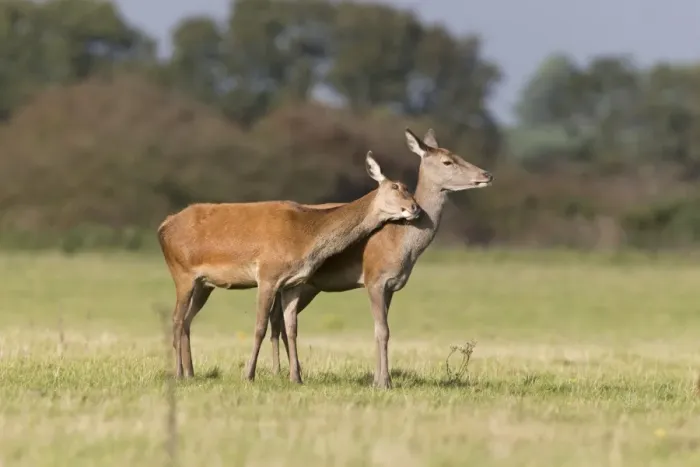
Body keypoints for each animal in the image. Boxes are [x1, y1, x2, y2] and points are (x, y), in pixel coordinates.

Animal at [157, 151, 421, 383]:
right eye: (395, 187)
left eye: (408, 188)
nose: (415, 208)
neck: (305, 236)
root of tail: (163, 226)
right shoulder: (267, 275)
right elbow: (260, 326)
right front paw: (248, 375)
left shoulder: (294, 282)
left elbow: (291, 328)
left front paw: (296, 378)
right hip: (181, 272)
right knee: (176, 319)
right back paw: (178, 374)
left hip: (204, 284)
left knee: (187, 320)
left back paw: (190, 373)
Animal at [268, 128, 493, 388]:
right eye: (447, 161)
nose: (487, 174)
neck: (400, 241)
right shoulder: (374, 279)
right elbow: (382, 330)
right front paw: (384, 383)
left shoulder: (392, 285)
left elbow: (381, 329)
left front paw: (378, 380)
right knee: (278, 318)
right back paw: (281, 372)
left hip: (309, 286)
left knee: (279, 317)